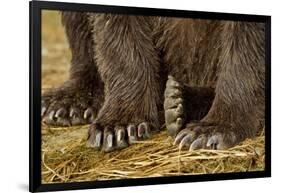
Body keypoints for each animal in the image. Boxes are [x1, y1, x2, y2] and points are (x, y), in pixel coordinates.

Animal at [41, 11, 262, 152]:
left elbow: (247, 42)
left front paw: (211, 131)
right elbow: (117, 35)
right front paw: (118, 127)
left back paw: (179, 100)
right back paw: (67, 104)